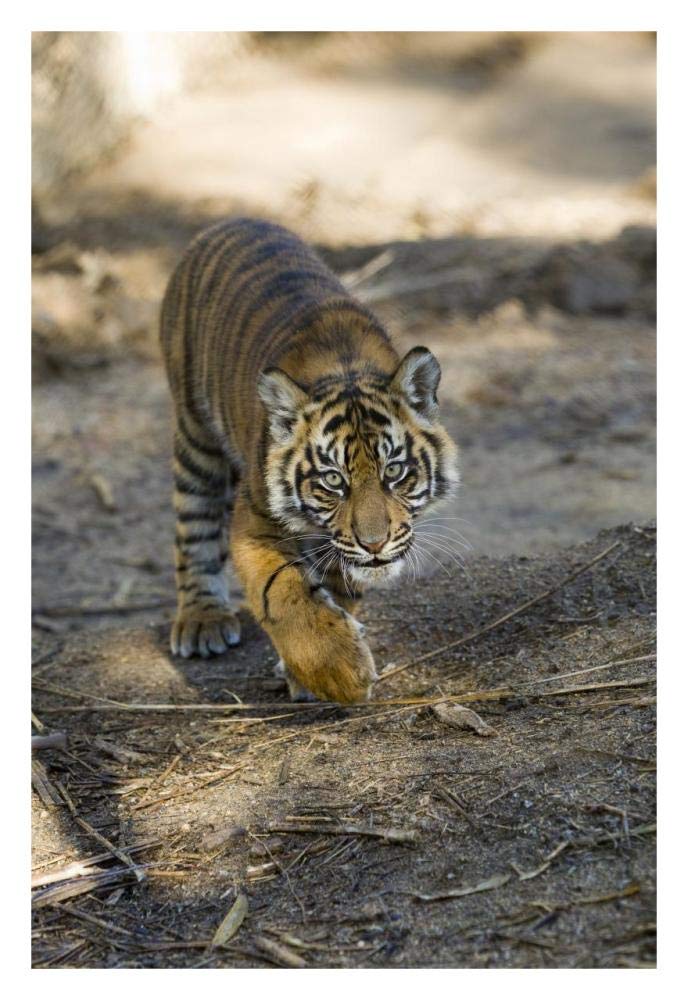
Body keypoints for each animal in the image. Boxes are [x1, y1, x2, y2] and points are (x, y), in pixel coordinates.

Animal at [159, 218, 459, 704]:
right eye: (334, 480)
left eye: (394, 471)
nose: (375, 544)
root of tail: (232, 221)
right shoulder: (255, 521)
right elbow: (284, 593)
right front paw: (339, 672)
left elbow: (336, 588)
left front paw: (308, 670)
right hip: (194, 433)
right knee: (194, 524)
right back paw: (203, 620)